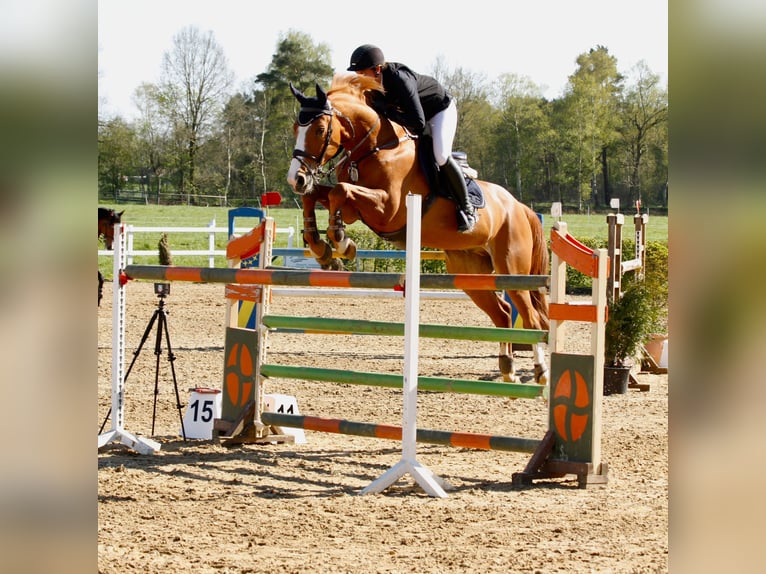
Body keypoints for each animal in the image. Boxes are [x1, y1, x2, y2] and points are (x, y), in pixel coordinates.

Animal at [290, 74, 552, 384]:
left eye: (319, 129)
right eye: (295, 128)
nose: (296, 178)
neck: (375, 148)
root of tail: (518, 206)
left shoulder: (388, 210)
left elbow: (339, 192)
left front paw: (342, 243)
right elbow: (319, 196)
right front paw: (322, 250)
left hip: (512, 268)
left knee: (531, 318)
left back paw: (540, 372)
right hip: (469, 272)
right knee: (502, 314)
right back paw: (508, 369)